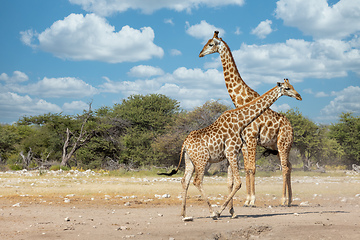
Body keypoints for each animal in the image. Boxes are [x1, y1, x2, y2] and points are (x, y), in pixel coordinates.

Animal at [161, 79, 300, 219]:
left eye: (292, 86)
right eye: (287, 88)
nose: (299, 96)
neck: (240, 122)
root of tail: (184, 144)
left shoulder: (229, 155)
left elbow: (230, 183)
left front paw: (232, 212)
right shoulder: (232, 152)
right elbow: (238, 182)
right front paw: (221, 211)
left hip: (189, 160)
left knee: (185, 181)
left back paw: (183, 213)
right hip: (201, 160)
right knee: (197, 181)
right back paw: (212, 212)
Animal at [198, 30, 296, 212]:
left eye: (211, 44)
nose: (200, 54)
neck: (241, 101)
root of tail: (291, 127)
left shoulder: (251, 139)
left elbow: (252, 168)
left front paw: (251, 200)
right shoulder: (244, 142)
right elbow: (248, 169)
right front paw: (247, 200)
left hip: (283, 144)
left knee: (285, 167)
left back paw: (283, 200)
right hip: (280, 146)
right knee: (290, 166)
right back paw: (290, 199)